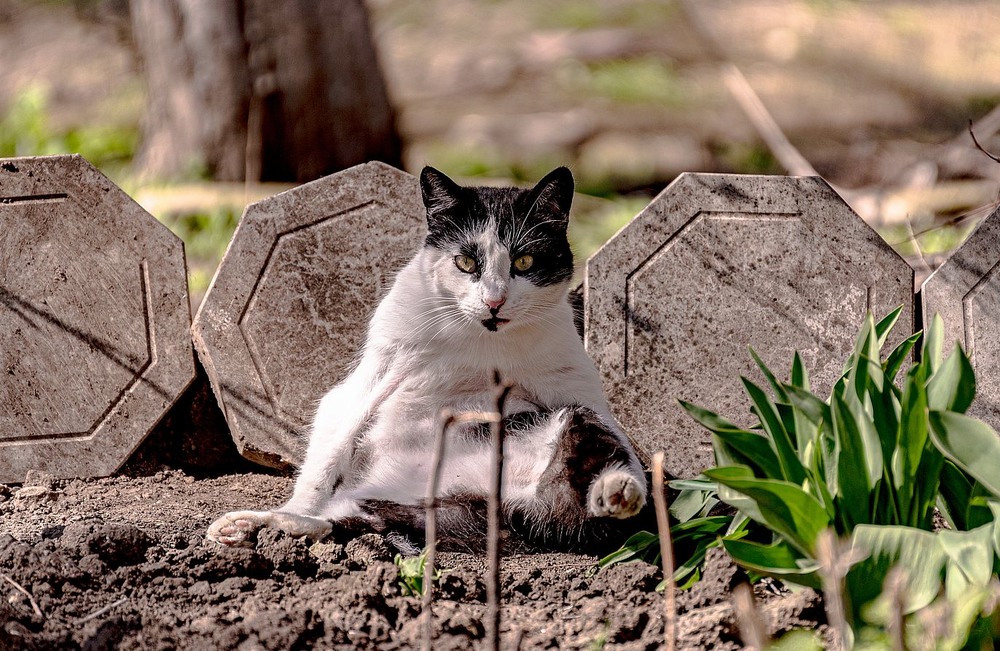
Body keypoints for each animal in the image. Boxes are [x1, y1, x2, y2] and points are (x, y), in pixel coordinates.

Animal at [209, 167, 648, 552]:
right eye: (465, 262)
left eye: (524, 261)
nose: (494, 301)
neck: (480, 342)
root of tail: (507, 503)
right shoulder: (372, 374)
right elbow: (328, 454)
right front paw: (295, 504)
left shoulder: (577, 383)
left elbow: (626, 445)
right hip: (397, 507)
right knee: (336, 522)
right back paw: (251, 525)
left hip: (572, 418)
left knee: (599, 476)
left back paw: (617, 493)